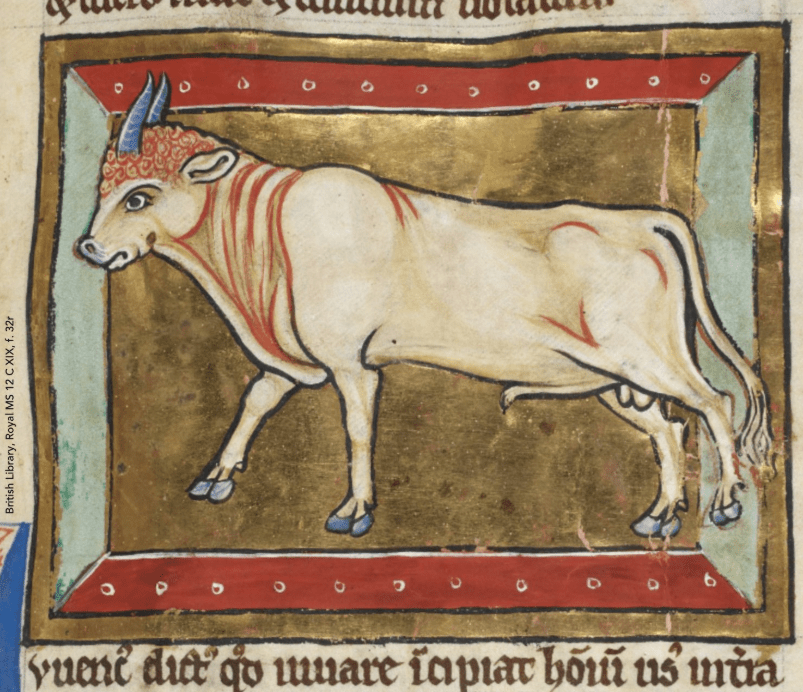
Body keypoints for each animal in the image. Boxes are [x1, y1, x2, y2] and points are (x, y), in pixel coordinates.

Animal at [77, 73, 772, 539]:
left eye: (139, 196)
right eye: (104, 188)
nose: (87, 246)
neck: (265, 235)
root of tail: (646, 218)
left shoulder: (351, 364)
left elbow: (357, 430)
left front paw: (354, 512)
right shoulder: (289, 361)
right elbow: (253, 402)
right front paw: (216, 476)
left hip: (647, 357)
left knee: (714, 403)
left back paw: (726, 503)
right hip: (615, 380)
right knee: (669, 428)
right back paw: (660, 517)